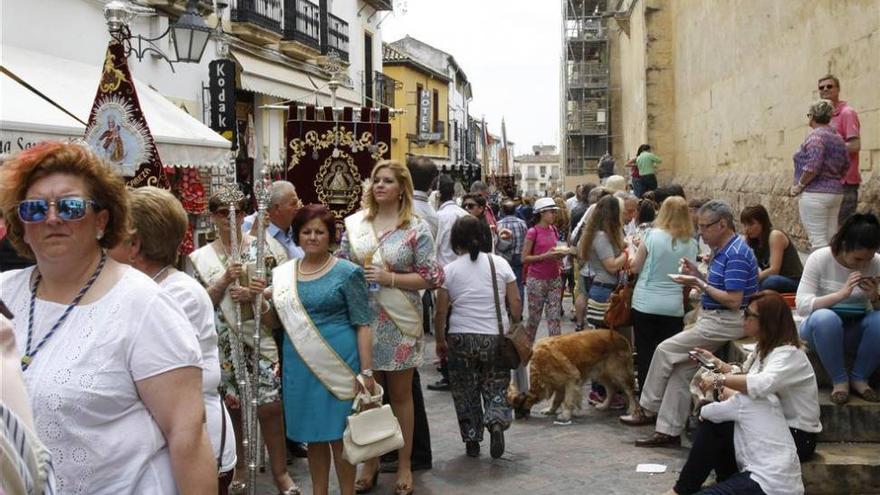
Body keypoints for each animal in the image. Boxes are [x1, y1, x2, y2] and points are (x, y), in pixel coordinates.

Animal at [508, 330, 640, 422]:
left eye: (518, 405)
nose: (517, 418)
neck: (540, 364)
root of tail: (621, 336)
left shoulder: (571, 379)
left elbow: (568, 400)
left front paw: (566, 415)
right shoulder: (559, 383)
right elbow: (556, 400)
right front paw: (551, 410)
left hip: (619, 373)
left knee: (630, 391)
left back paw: (632, 410)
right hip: (601, 373)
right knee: (611, 389)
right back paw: (605, 405)